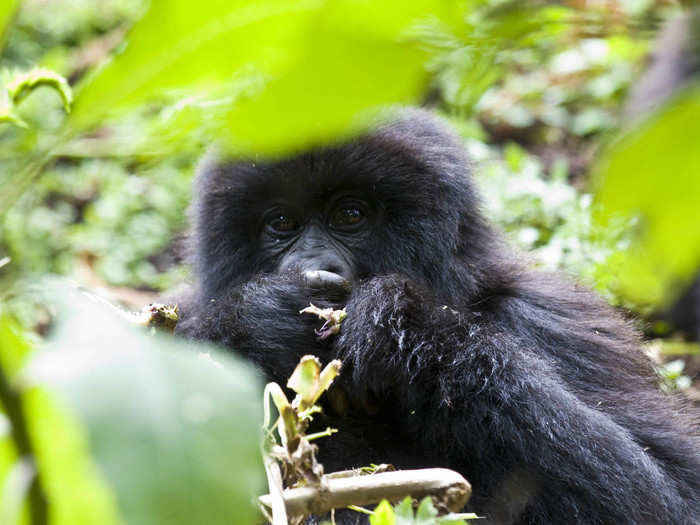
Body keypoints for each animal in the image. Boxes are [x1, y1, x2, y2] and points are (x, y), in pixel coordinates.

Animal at [176, 108, 700, 520]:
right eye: (282, 223)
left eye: (350, 215)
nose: (314, 266)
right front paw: (258, 319)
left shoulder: (553, 318)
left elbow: (671, 492)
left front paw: (402, 328)